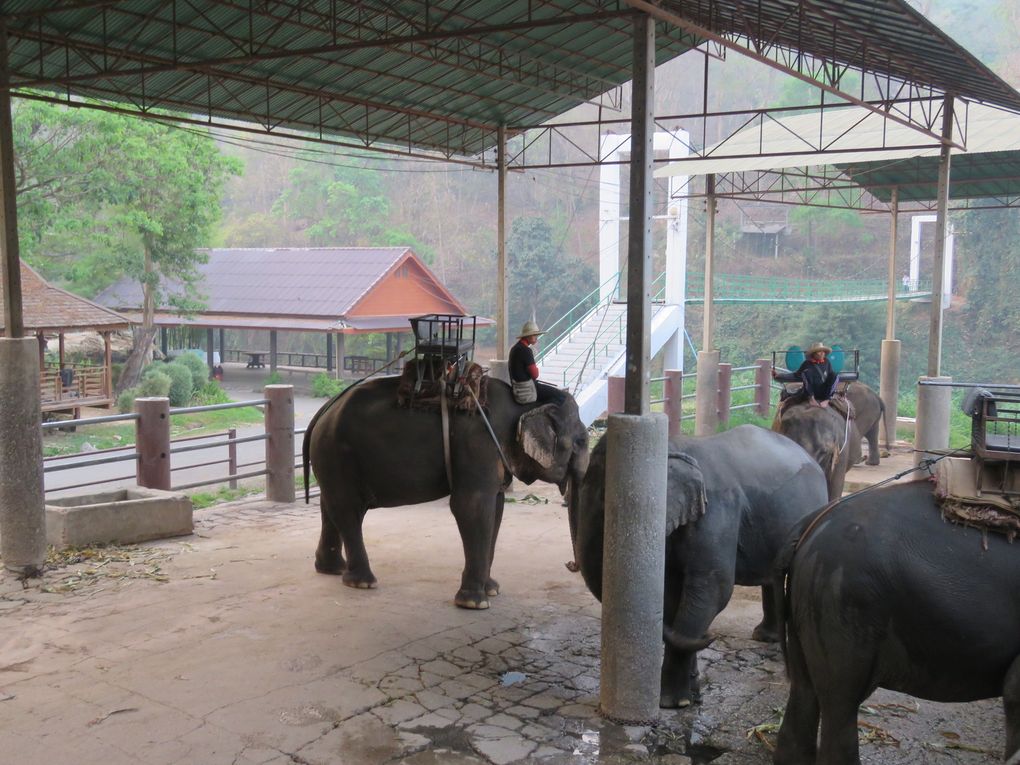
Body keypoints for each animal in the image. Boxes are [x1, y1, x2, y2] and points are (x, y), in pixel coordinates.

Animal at [301, 377, 587, 612]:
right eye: (582, 441)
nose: (570, 565)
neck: (526, 404)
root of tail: (323, 411)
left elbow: (496, 508)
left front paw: (492, 589)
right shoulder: (478, 445)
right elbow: (472, 507)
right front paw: (475, 603)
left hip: (333, 459)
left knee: (331, 506)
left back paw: (332, 569)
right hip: (337, 453)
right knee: (349, 510)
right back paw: (362, 582)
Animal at [575, 422, 828, 709]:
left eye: (607, 501)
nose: (710, 637)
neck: (673, 445)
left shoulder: (717, 510)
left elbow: (712, 589)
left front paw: (672, 702)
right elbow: (672, 594)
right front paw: (692, 696)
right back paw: (764, 637)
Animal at [771, 481, 1020, 762]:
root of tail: (811, 522)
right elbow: (1014, 689)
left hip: (808, 602)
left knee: (803, 693)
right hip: (843, 604)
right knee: (840, 706)